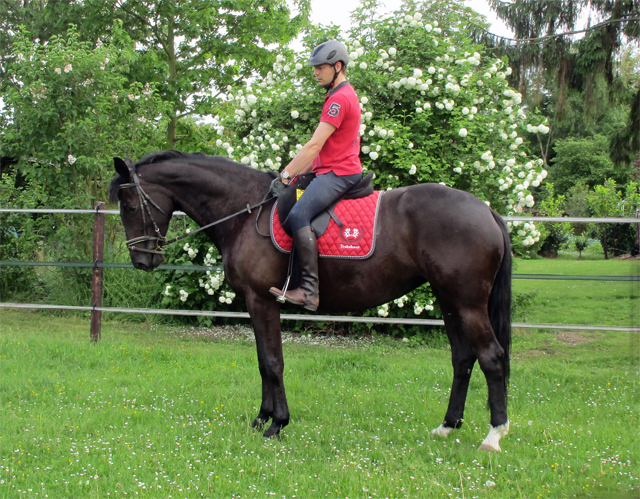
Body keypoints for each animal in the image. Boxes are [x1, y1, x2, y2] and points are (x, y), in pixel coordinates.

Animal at [107, 151, 512, 454]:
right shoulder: (255, 303)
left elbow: (273, 362)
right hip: (449, 301)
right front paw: (261, 418)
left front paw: (277, 424)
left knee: (491, 357)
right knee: (463, 358)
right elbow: (263, 362)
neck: (245, 211)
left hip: (467, 303)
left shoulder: (262, 300)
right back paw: (447, 426)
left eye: (129, 206)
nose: (141, 261)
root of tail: (485, 210)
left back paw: (493, 435)